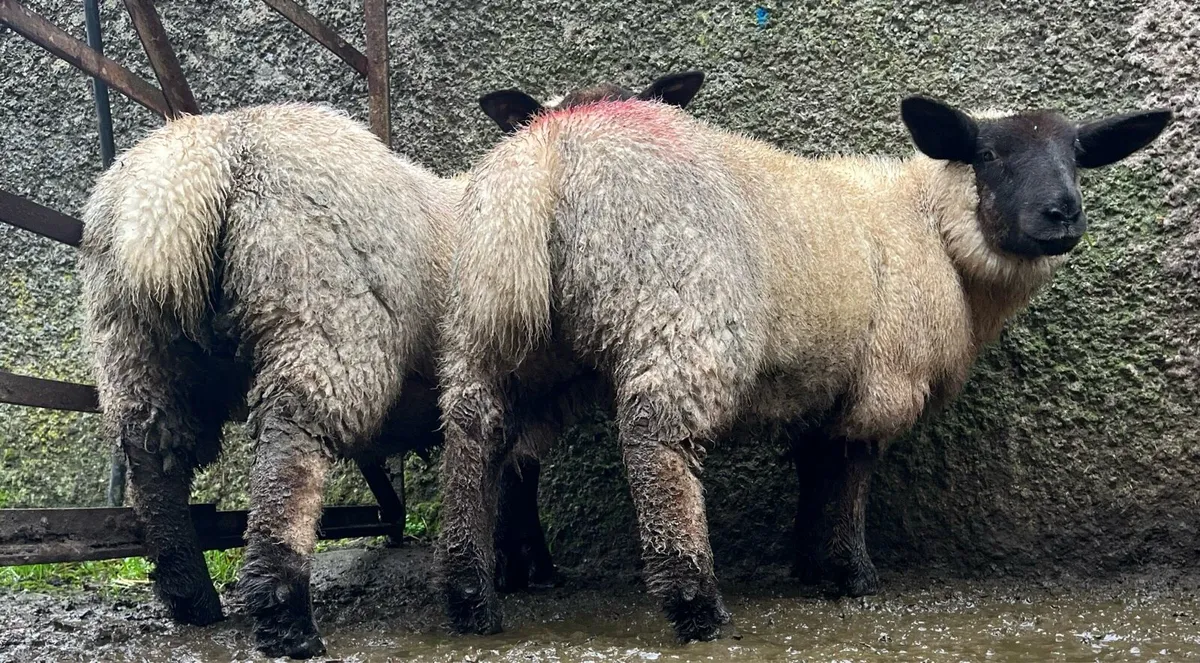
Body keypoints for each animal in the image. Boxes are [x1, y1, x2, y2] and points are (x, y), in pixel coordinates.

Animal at [78, 71, 705, 660]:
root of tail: (201, 157)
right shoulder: (525, 384)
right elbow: (517, 479)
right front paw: (527, 567)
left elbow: (506, 476)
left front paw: (516, 567)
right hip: (324, 320)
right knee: (290, 454)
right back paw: (286, 623)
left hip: (135, 344)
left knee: (153, 460)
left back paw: (192, 601)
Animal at [435, 94, 1172, 641]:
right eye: (987, 154)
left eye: (1077, 157)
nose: (1063, 215)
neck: (928, 225)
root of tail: (545, 157)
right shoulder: (883, 377)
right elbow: (848, 471)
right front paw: (850, 572)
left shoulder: (825, 380)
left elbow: (815, 465)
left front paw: (810, 562)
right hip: (678, 316)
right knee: (656, 445)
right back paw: (694, 602)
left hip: (499, 326)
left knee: (477, 437)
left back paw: (472, 594)